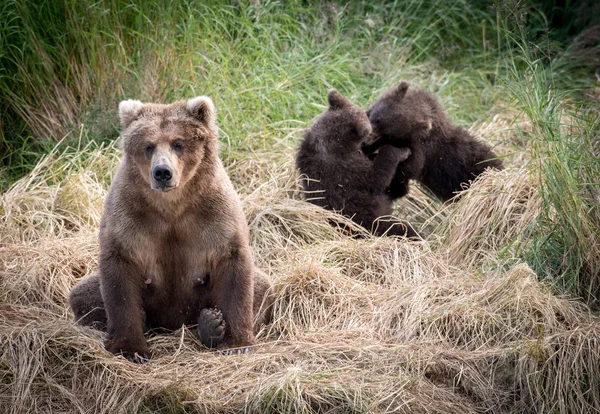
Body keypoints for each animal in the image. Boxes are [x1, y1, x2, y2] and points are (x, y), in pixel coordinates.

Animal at [68, 95, 272, 360]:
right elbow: (118, 272)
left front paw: (236, 343)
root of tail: (173, 325)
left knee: (263, 287)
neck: (172, 205)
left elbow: (234, 266)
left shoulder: (213, 212)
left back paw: (209, 324)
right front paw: (130, 348)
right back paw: (146, 321)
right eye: (148, 146)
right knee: (81, 295)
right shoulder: (129, 214)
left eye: (178, 143)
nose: (162, 172)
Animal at [294, 89, 418, 241]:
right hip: (368, 222)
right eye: (367, 116)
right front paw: (401, 151)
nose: (373, 125)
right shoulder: (346, 168)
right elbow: (376, 178)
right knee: (398, 228)